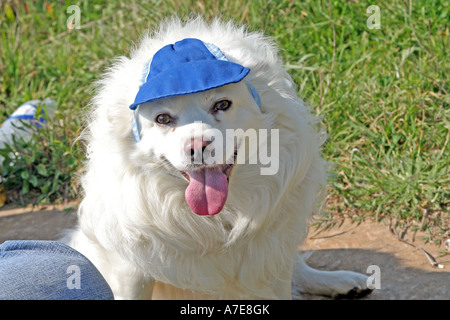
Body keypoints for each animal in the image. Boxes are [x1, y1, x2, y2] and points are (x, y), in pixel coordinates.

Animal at [64, 16, 372, 298]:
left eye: (222, 104)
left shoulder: (269, 255)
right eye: (163, 118)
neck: (217, 220)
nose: (197, 146)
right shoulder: (131, 267)